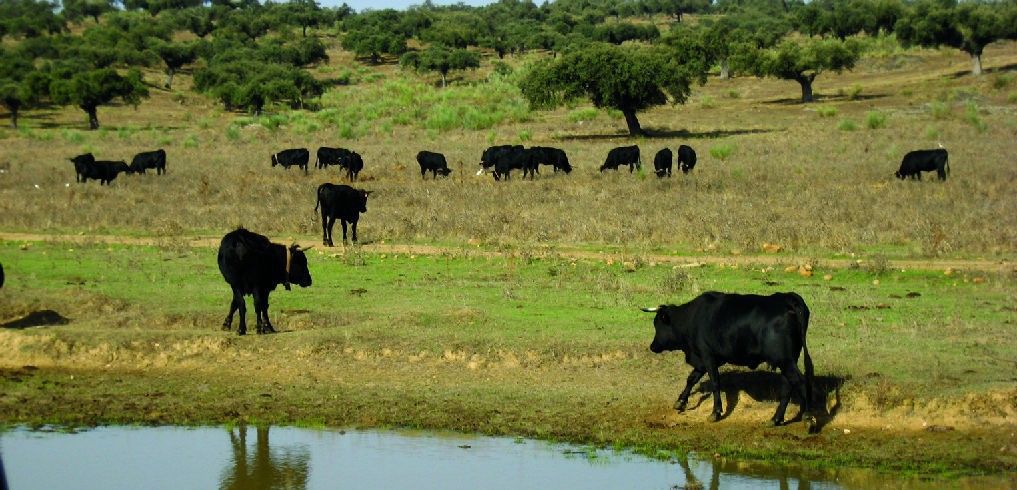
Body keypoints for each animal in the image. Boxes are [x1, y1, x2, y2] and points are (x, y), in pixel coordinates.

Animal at [642, 290, 817, 429]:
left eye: (658, 324)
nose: (652, 346)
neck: (693, 318)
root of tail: (787, 297)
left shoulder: (708, 356)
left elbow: (715, 383)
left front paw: (716, 412)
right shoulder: (703, 359)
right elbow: (692, 378)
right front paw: (681, 401)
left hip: (785, 360)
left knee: (801, 382)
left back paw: (808, 417)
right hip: (789, 360)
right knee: (788, 386)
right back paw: (776, 419)